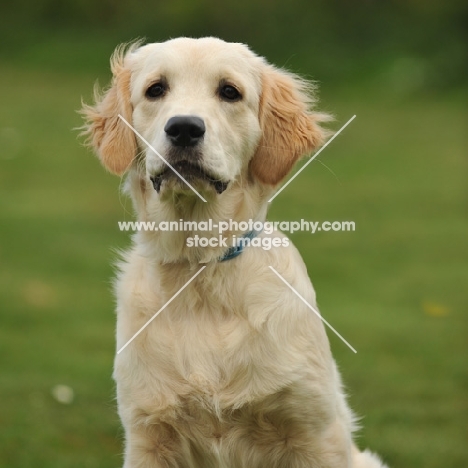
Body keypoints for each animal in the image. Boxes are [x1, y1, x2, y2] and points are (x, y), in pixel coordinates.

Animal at [81, 36, 388, 468]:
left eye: (229, 92)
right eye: (156, 89)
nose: (184, 128)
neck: (201, 271)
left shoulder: (313, 432)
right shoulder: (148, 432)